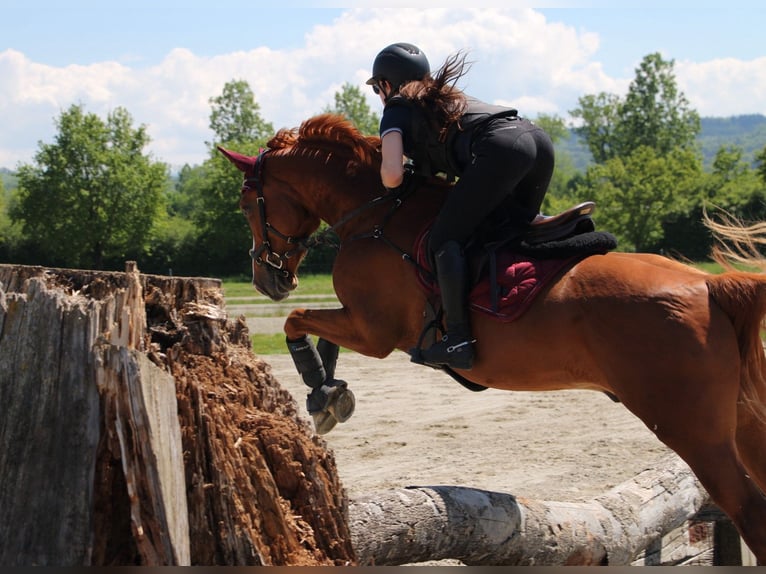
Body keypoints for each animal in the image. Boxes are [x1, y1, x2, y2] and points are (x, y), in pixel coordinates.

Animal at [219, 112, 766, 564]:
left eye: (246, 204)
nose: (267, 280)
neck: (373, 216)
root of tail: (710, 285)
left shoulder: (373, 331)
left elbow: (297, 320)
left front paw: (319, 387)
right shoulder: (360, 322)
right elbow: (316, 333)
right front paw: (328, 395)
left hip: (690, 428)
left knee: (748, 507)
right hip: (742, 421)